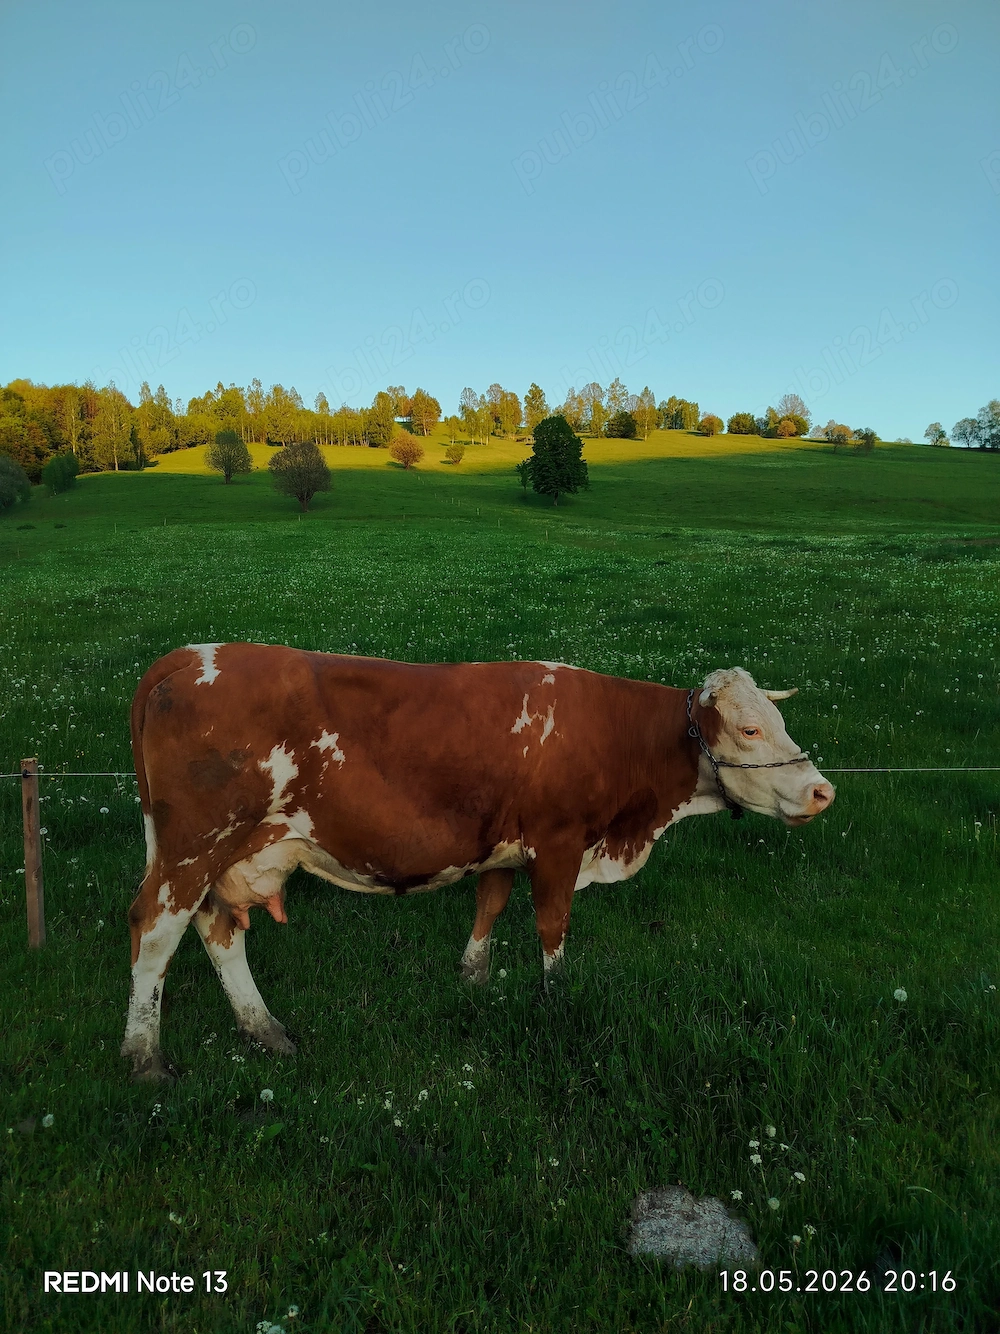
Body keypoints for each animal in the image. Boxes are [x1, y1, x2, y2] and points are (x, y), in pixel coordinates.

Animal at [121, 645, 834, 1081]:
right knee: (154, 930)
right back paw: (144, 1056)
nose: (821, 791)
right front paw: (554, 999)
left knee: (218, 931)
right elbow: (552, 927)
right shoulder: (559, 842)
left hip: (224, 852)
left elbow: (489, 904)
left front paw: (473, 979)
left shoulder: (503, 845)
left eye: (778, 721)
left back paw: (263, 1029)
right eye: (749, 730)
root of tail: (191, 655)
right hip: (195, 845)